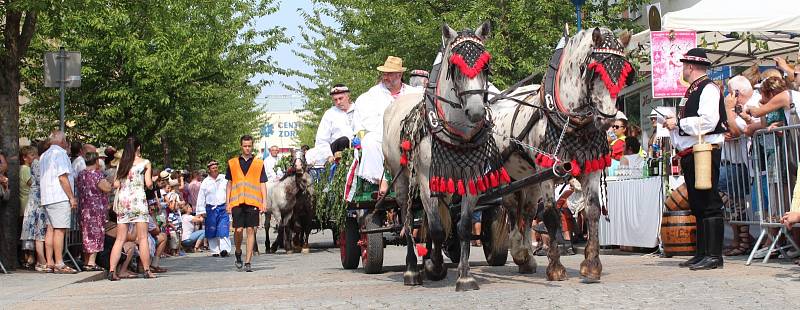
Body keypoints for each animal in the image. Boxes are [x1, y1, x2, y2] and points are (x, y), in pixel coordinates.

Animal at [494, 27, 632, 282]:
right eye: (594, 71)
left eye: (624, 72)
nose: (608, 119)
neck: (572, 124)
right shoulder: (548, 172)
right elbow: (550, 215)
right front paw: (555, 268)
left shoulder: (591, 168)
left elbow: (593, 210)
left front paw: (592, 264)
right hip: (509, 175)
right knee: (511, 206)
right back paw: (519, 251)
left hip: (528, 177)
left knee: (527, 211)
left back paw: (525, 257)